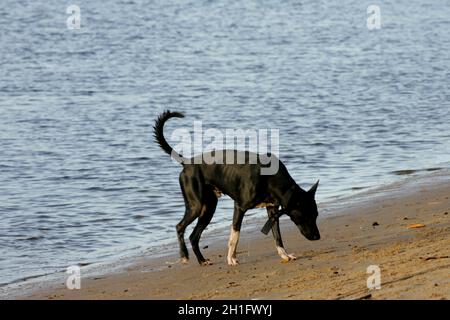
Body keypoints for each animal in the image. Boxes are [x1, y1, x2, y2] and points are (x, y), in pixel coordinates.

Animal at [154, 110, 320, 264]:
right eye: (307, 215)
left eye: (316, 215)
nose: (318, 237)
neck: (271, 178)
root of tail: (188, 162)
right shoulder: (239, 207)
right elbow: (235, 235)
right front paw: (231, 258)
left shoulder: (272, 209)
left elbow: (277, 235)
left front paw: (284, 255)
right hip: (196, 206)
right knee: (179, 227)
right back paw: (184, 255)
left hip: (209, 208)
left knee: (193, 236)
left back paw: (202, 261)